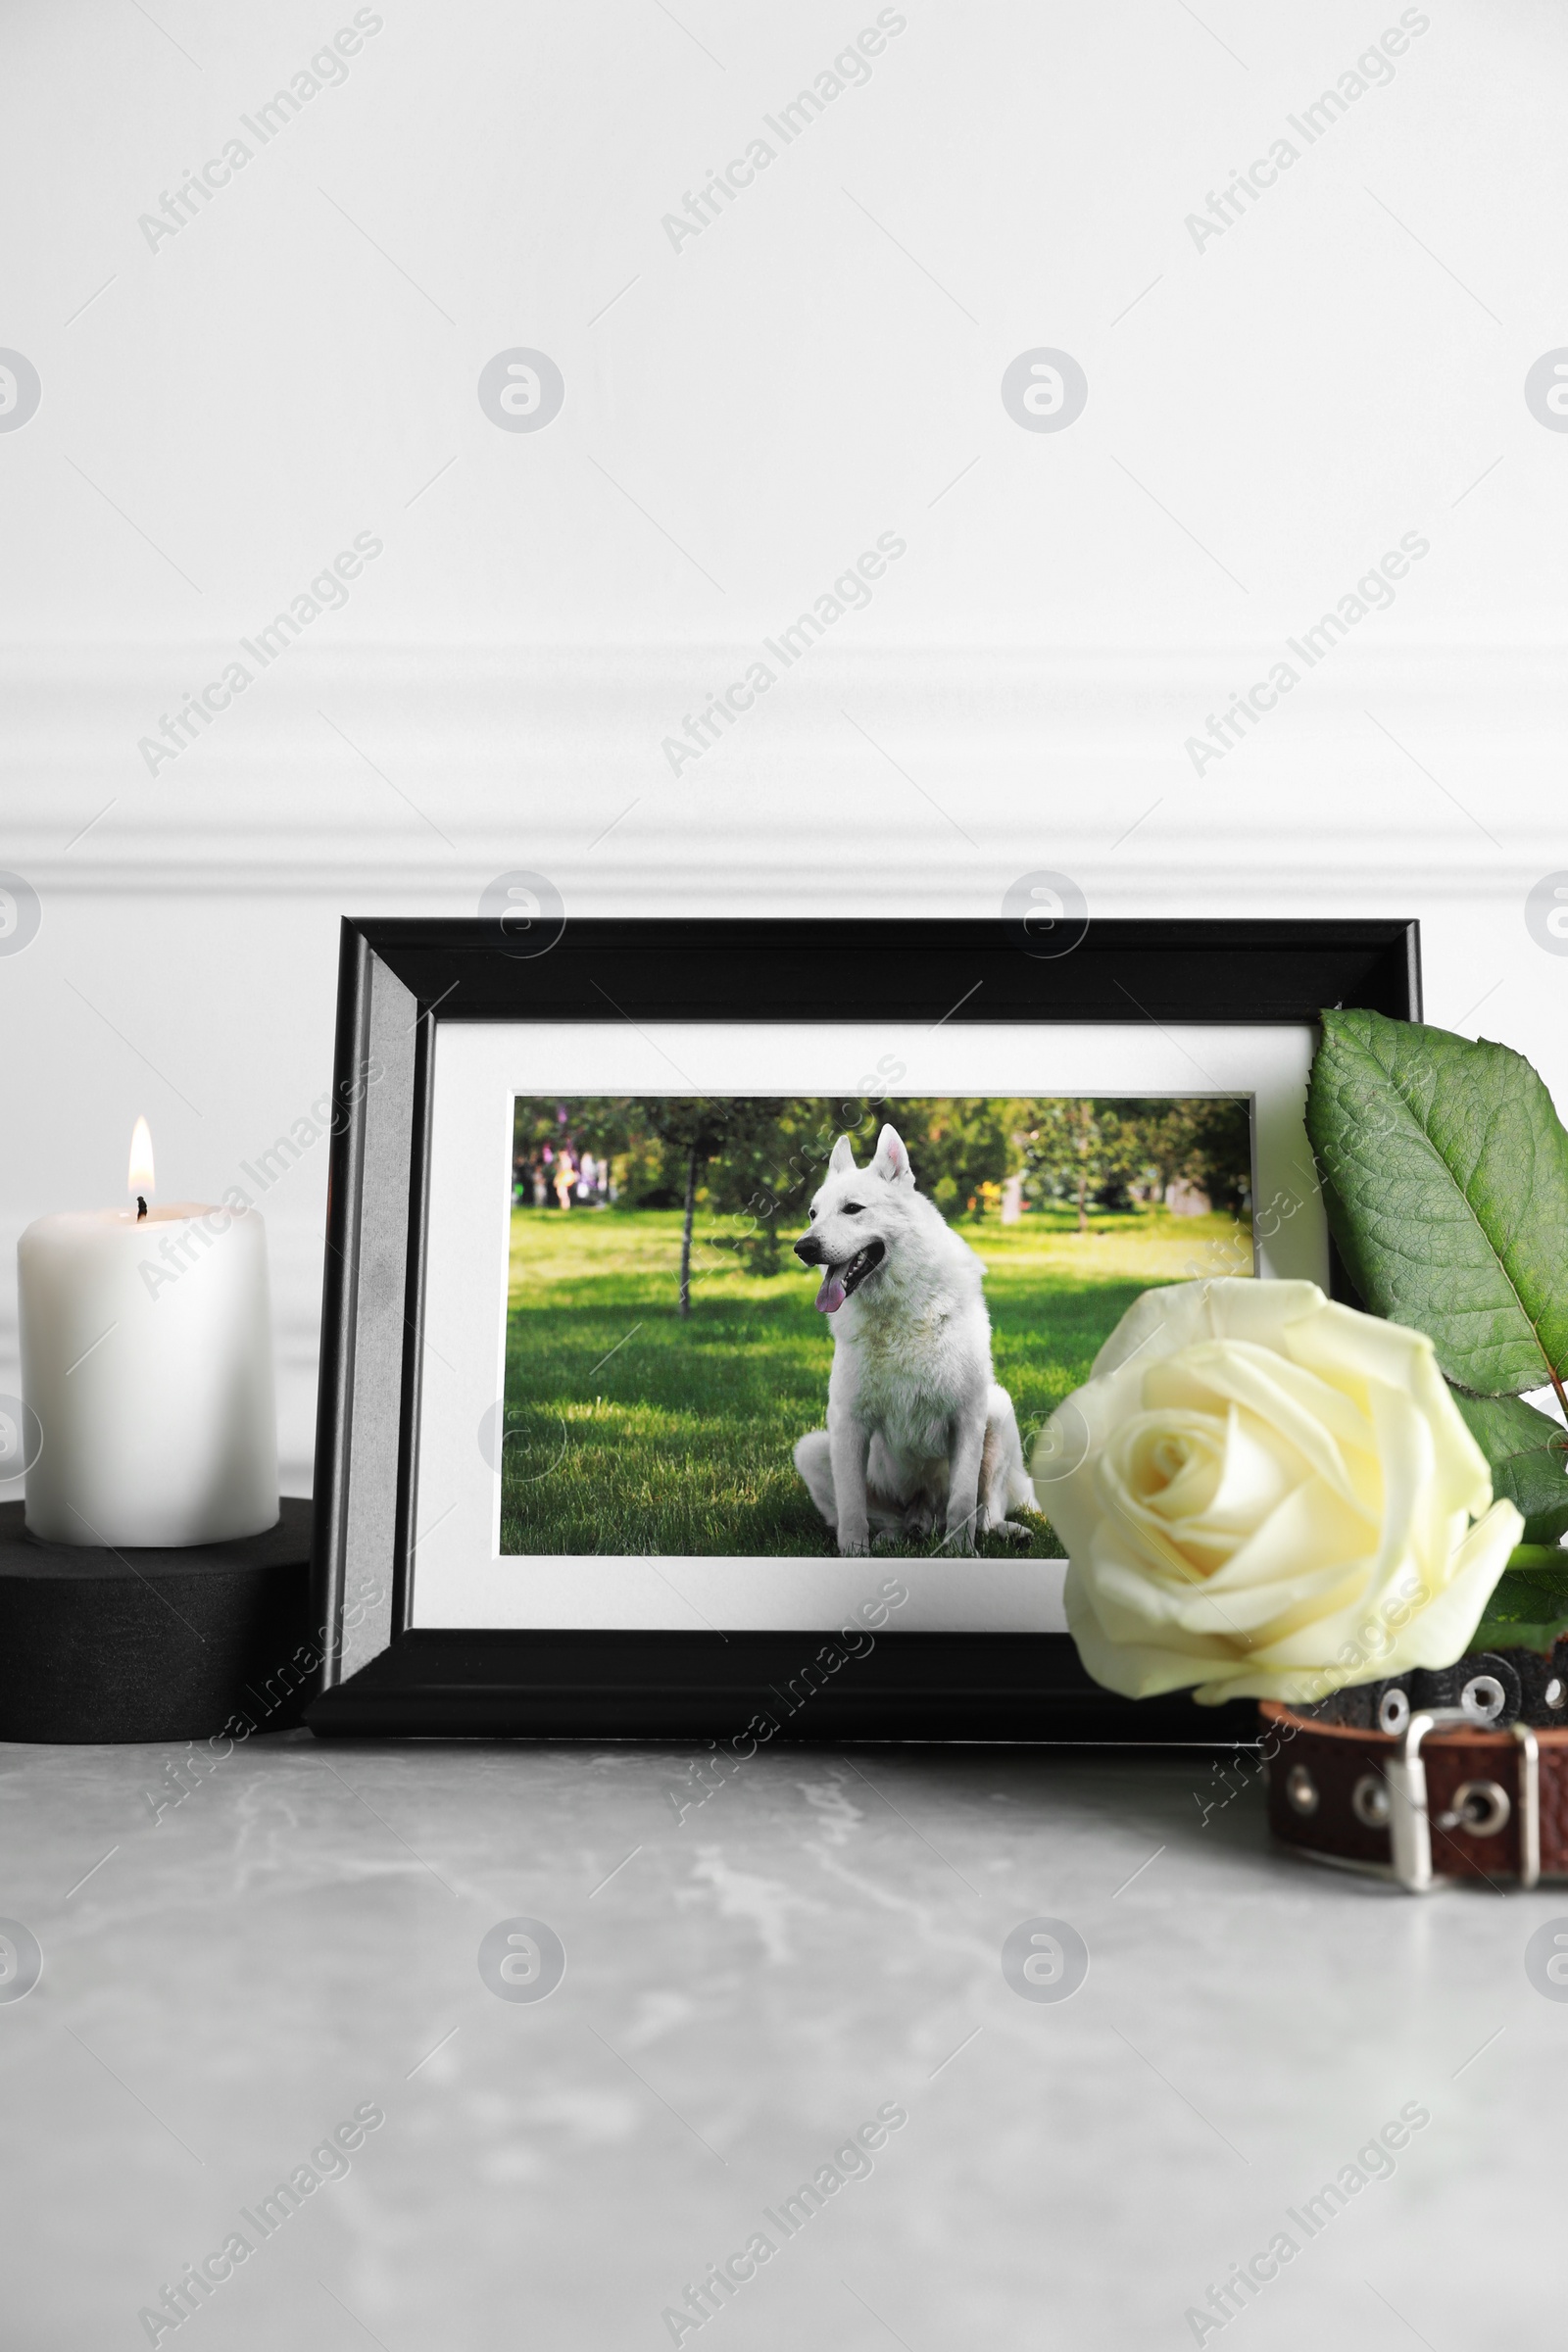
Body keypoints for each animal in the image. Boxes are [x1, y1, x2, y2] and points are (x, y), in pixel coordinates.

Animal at [789, 1124, 1034, 1561]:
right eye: (813, 1214)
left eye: (853, 1209)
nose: (803, 1248)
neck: (898, 1315)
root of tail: (924, 1516)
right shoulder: (848, 1422)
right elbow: (852, 1506)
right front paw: (854, 1553)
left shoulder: (968, 1417)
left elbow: (962, 1503)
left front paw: (960, 1555)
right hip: (813, 1448)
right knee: (889, 1521)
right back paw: (892, 1537)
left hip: (998, 1412)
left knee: (986, 1511)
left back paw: (1003, 1531)